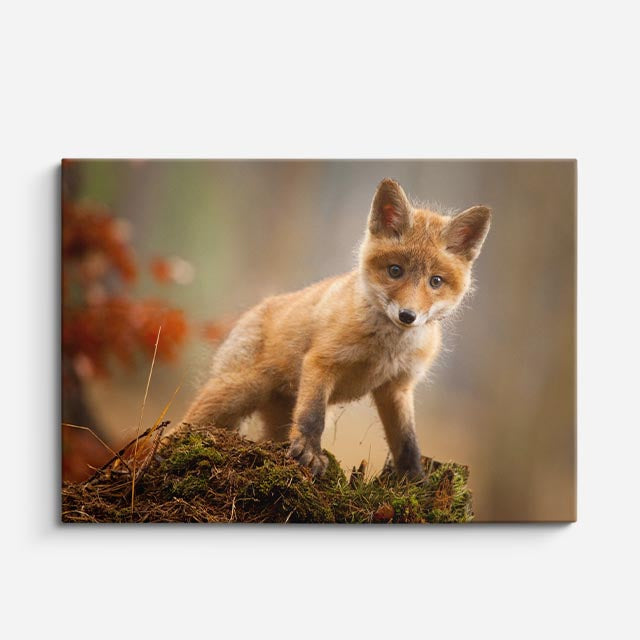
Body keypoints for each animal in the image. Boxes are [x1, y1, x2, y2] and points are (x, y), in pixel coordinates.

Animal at [182, 178, 491, 479]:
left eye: (435, 281)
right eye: (395, 271)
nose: (407, 315)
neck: (386, 349)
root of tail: (253, 310)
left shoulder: (397, 387)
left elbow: (407, 441)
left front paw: (414, 480)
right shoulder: (322, 362)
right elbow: (312, 416)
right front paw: (310, 453)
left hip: (275, 417)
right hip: (235, 394)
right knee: (183, 426)